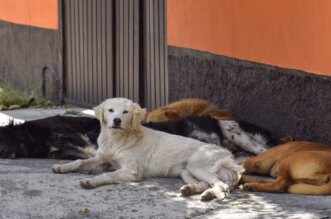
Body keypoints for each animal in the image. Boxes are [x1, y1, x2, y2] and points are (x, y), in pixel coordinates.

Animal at [52, 98, 244, 201]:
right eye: (110, 110)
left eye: (125, 112)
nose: (116, 121)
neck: (117, 139)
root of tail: (228, 156)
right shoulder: (102, 160)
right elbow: (79, 161)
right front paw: (62, 167)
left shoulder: (132, 171)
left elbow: (107, 175)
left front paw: (91, 181)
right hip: (187, 171)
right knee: (206, 183)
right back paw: (192, 190)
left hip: (197, 164)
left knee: (221, 185)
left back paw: (209, 194)